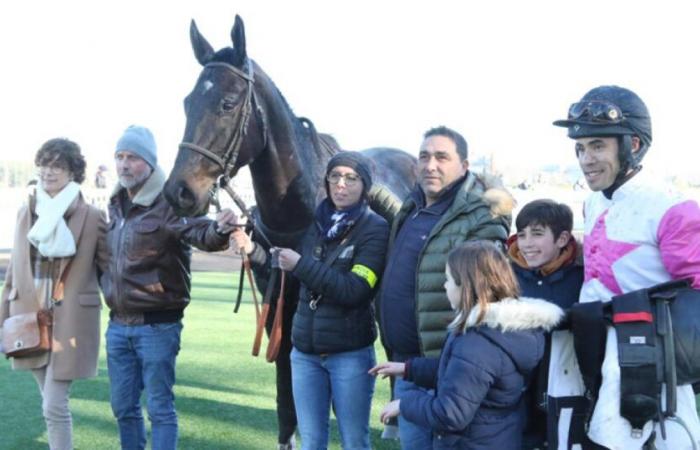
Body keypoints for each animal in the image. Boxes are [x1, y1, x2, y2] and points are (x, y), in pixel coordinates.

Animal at [164, 15, 416, 444]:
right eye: (186, 102)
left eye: (227, 103)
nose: (179, 191)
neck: (301, 215)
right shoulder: (279, 306)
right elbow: (289, 389)